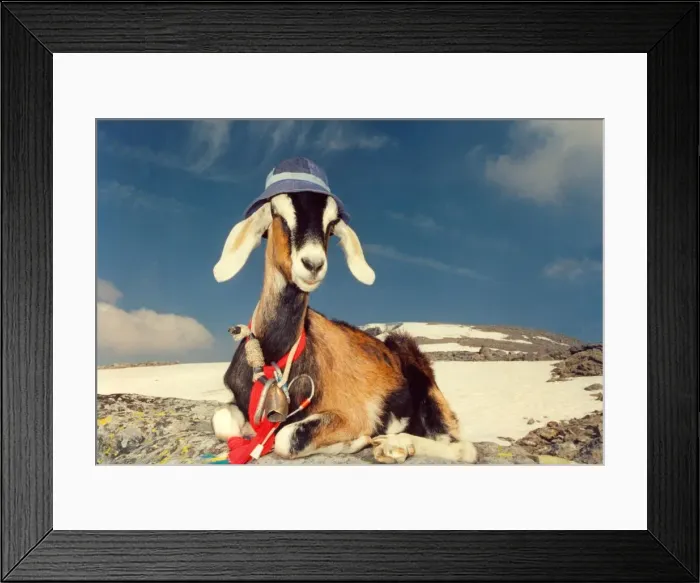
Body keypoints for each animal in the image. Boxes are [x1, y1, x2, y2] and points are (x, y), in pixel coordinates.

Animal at [211, 191, 478, 464]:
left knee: (464, 449)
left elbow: (287, 437)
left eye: (330, 227)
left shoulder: (352, 416)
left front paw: (355, 441)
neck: (275, 354)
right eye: (278, 214)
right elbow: (221, 420)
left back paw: (393, 445)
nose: (313, 264)